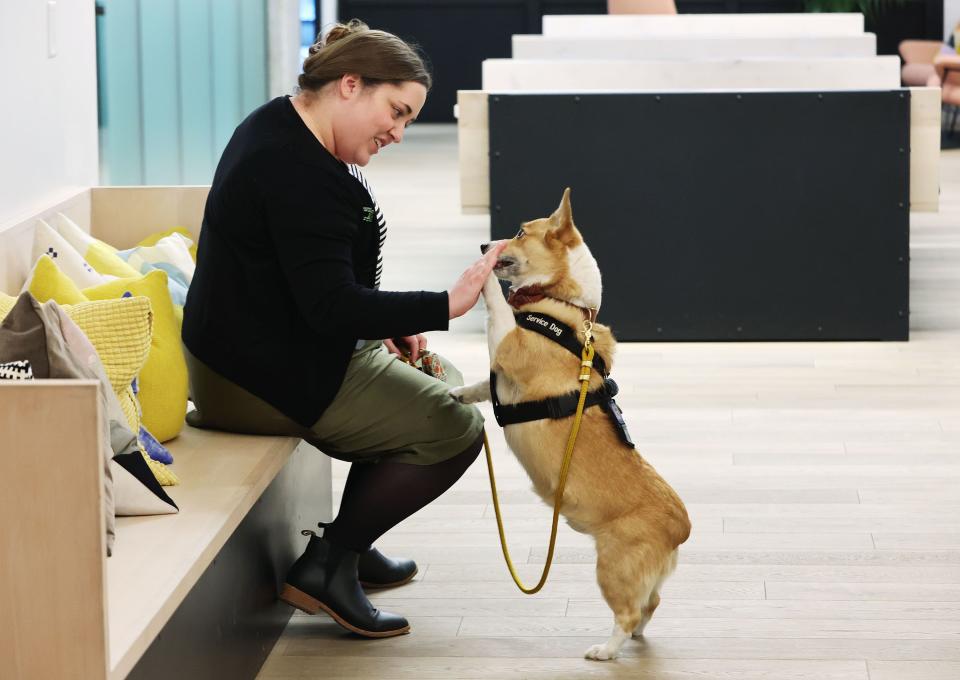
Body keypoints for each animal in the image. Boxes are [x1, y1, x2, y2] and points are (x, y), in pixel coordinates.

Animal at [450, 189, 688, 660]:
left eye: (519, 232)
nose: (485, 246)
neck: (563, 302)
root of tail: (680, 529)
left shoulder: (508, 342)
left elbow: (497, 305)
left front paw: (481, 278)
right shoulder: (499, 372)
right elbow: (483, 386)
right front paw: (459, 394)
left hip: (612, 567)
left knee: (627, 612)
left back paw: (606, 650)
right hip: (640, 576)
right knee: (651, 603)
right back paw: (634, 636)